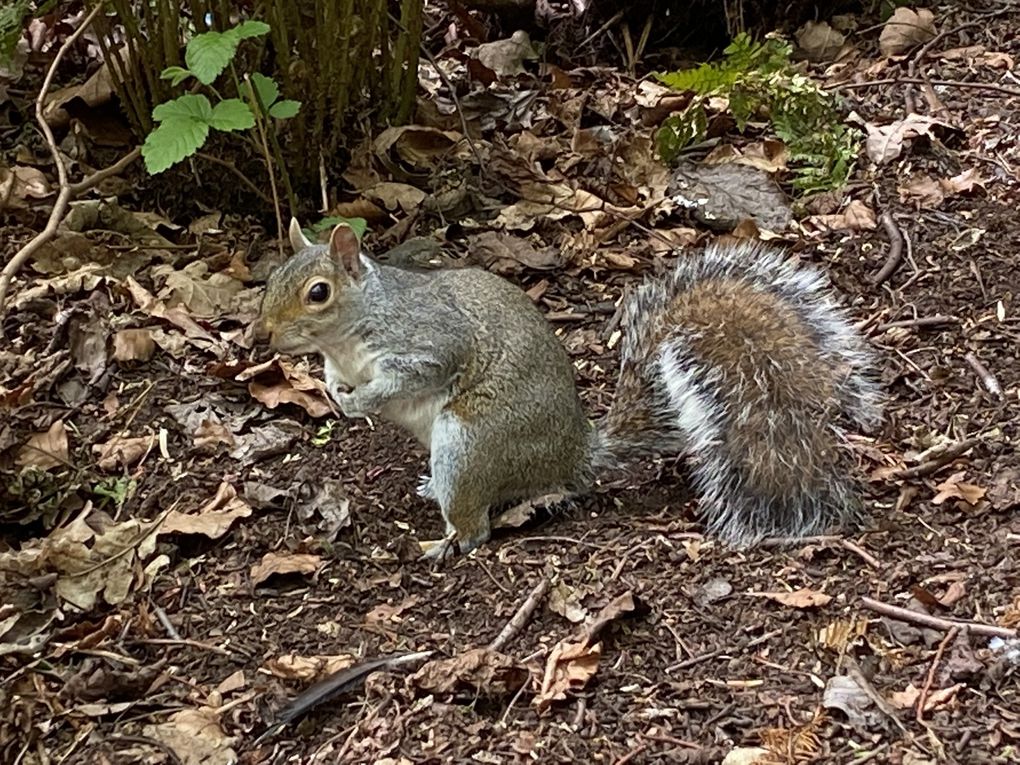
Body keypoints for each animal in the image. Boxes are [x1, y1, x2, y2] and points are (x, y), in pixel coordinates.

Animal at [259, 218, 881, 558]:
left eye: (318, 293)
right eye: (270, 279)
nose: (261, 333)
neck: (349, 336)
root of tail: (574, 454)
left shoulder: (432, 341)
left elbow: (415, 374)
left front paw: (360, 401)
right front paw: (334, 391)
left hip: (470, 441)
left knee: (477, 524)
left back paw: (447, 540)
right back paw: (430, 490)